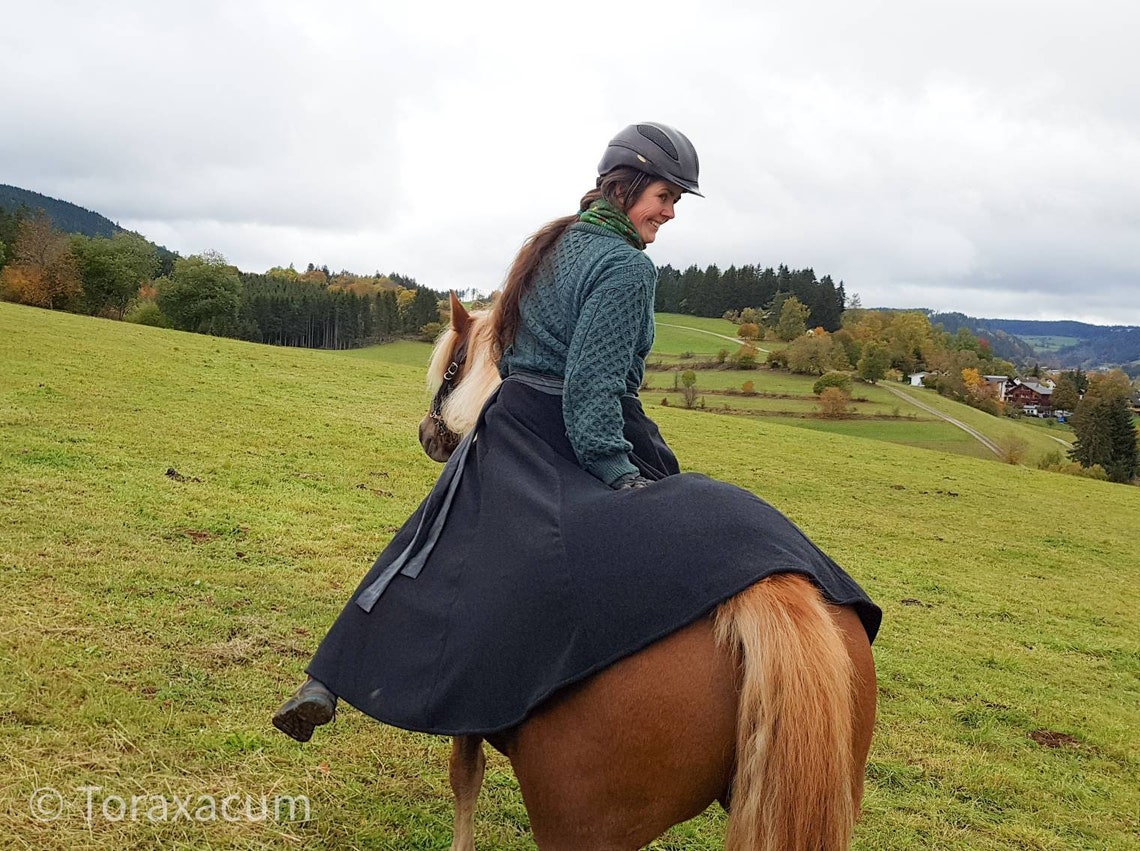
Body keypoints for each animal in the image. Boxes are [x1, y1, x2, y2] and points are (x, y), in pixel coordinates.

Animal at [415, 292, 877, 851]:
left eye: (451, 368)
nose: (427, 434)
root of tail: (766, 588)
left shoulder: (464, 706)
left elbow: (465, 776)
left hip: (580, 825)